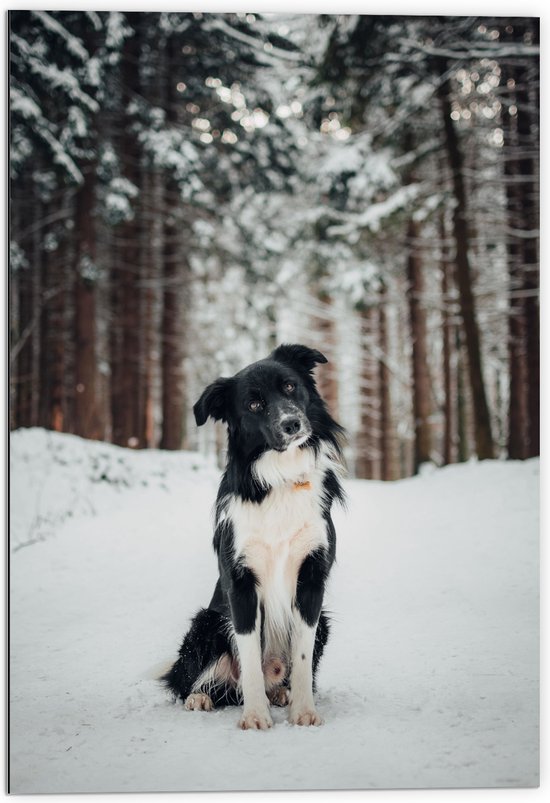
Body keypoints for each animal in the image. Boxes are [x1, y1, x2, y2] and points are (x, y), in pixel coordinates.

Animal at [162, 342, 348, 732]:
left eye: (290, 386)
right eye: (253, 405)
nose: (291, 424)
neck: (282, 478)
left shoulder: (311, 581)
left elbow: (303, 657)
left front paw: (304, 711)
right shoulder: (240, 583)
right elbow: (248, 657)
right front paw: (255, 716)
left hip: (323, 621)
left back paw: (281, 692)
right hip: (207, 622)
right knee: (194, 682)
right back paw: (199, 697)